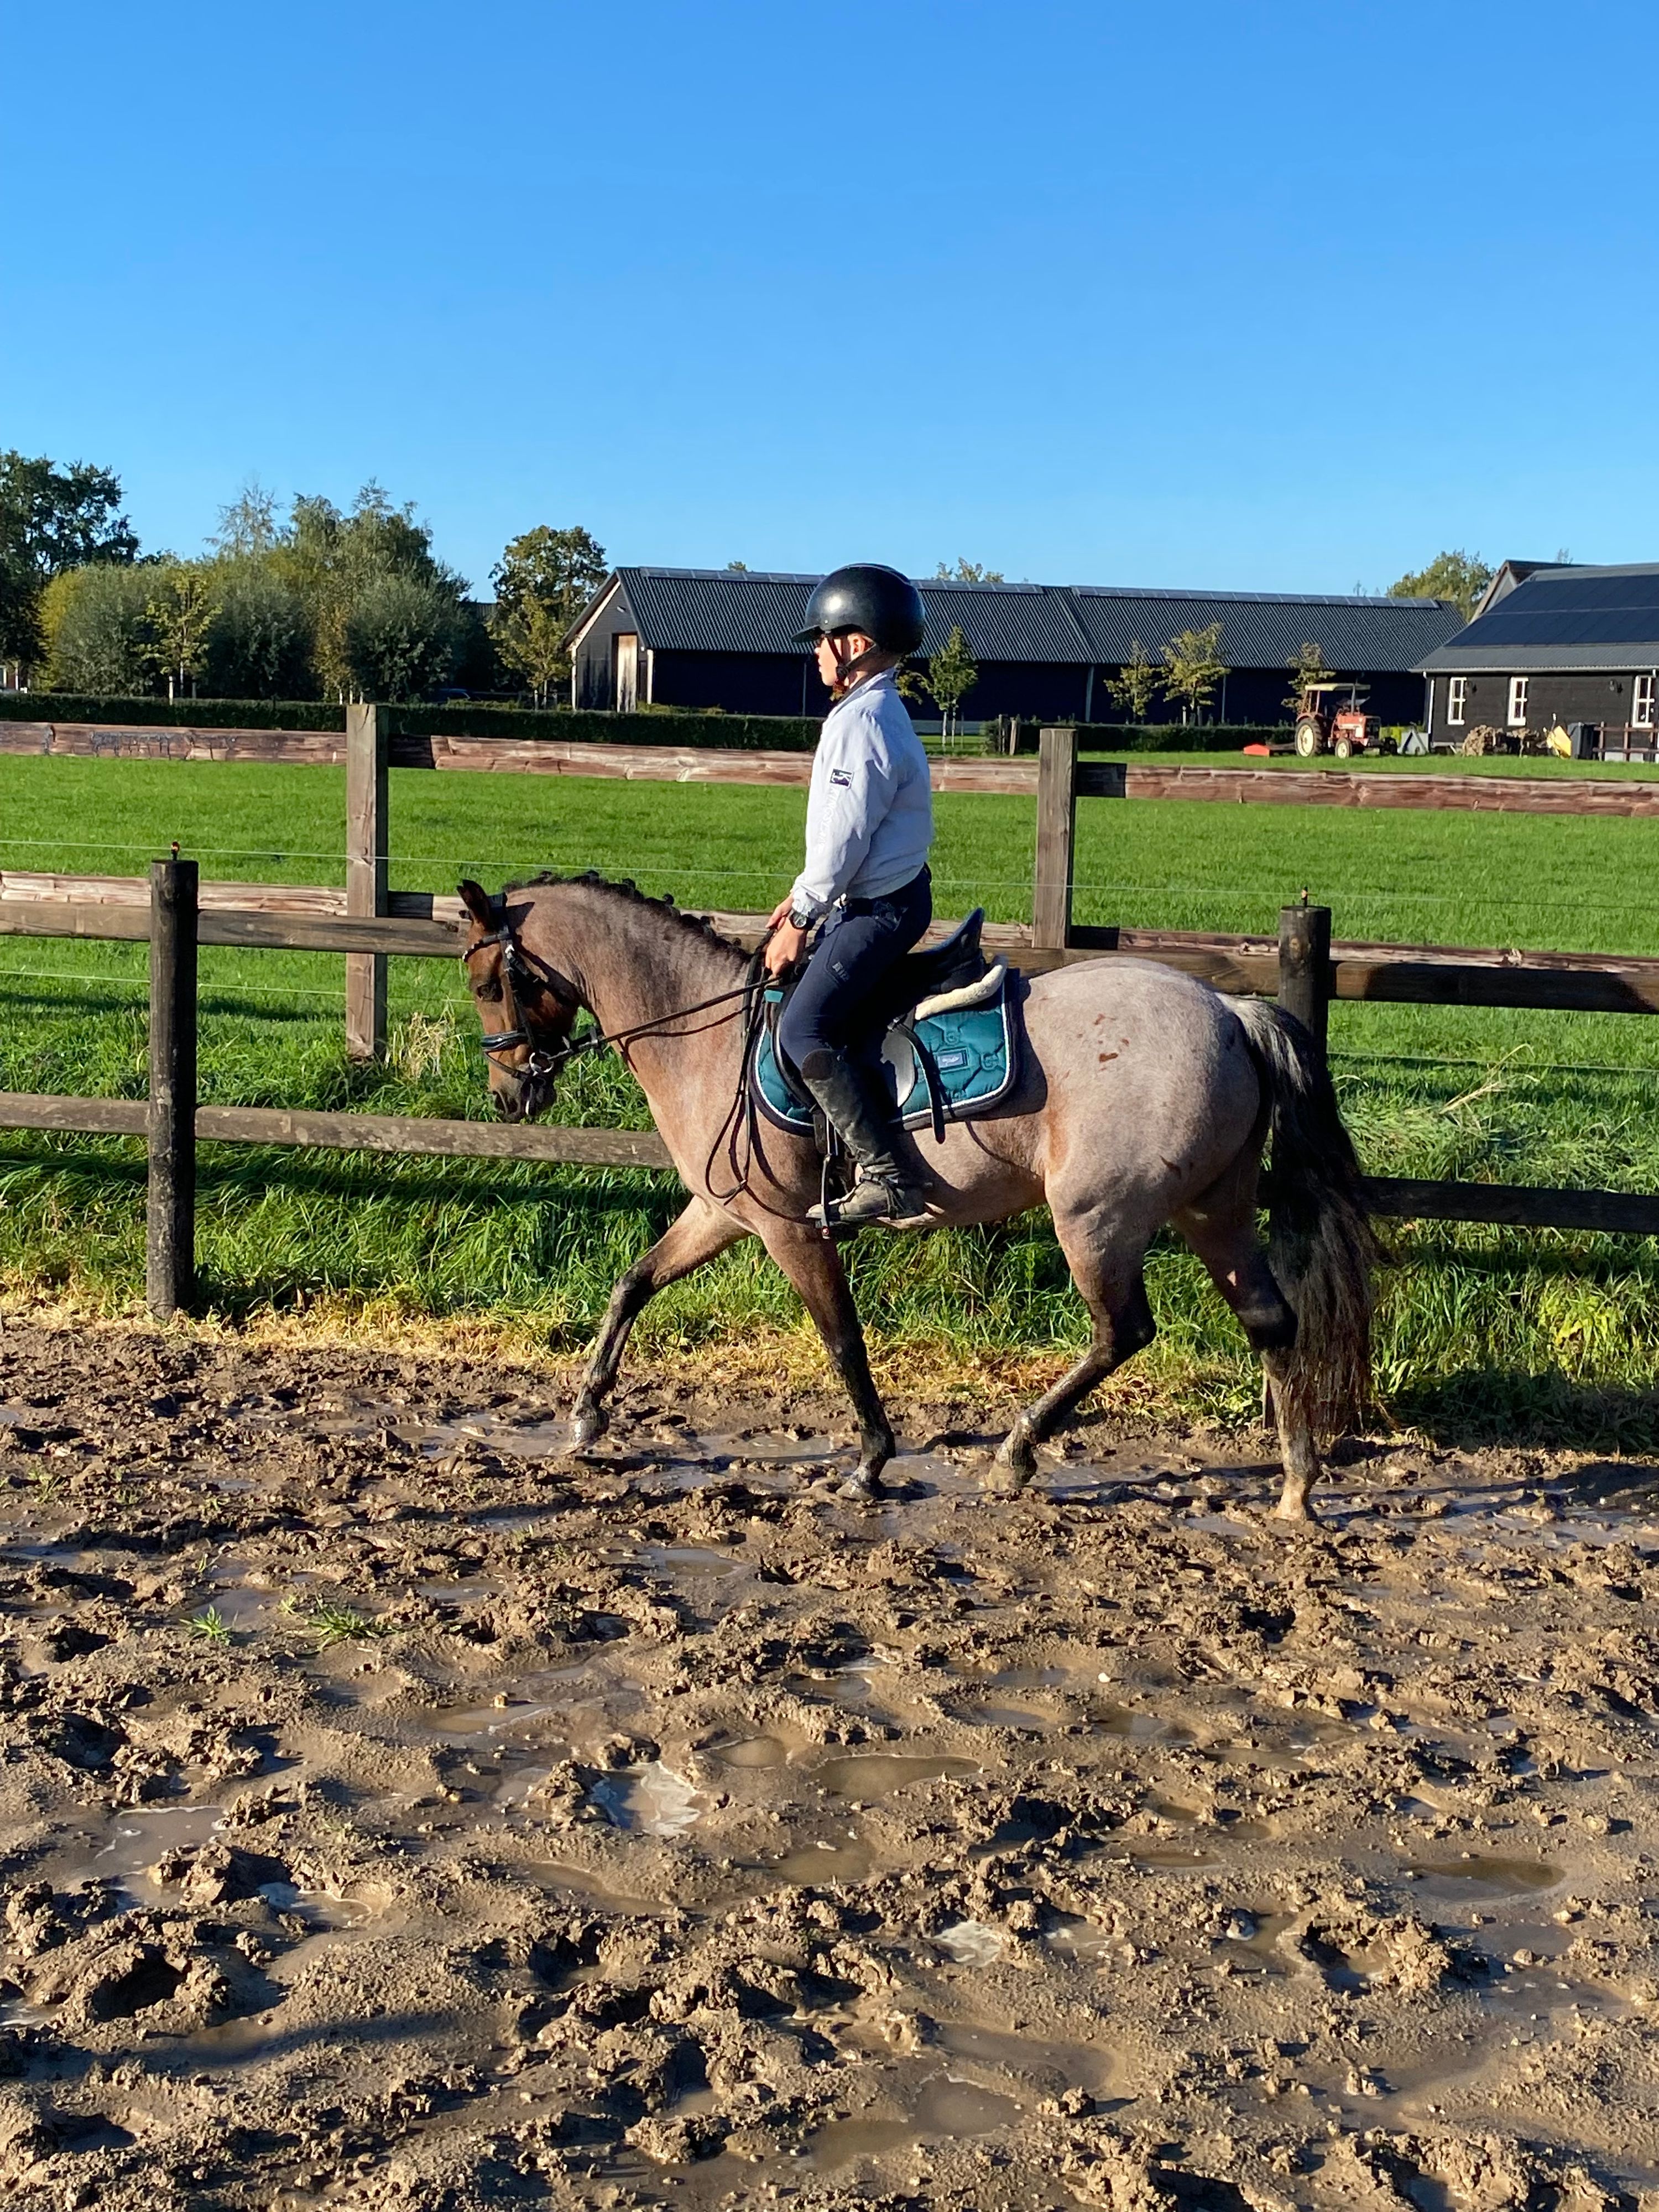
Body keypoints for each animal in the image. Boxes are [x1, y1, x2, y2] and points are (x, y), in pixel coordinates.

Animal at [455, 872, 1376, 1520]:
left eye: (485, 985)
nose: (508, 1095)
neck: (703, 1033)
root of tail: (1228, 1009)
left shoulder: (791, 1230)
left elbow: (842, 1340)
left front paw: (869, 1460)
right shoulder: (721, 1212)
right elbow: (634, 1284)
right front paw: (585, 1416)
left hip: (1098, 1218)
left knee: (1123, 1332)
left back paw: (1016, 1453)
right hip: (1213, 1209)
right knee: (1270, 1320)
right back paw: (1296, 1484)